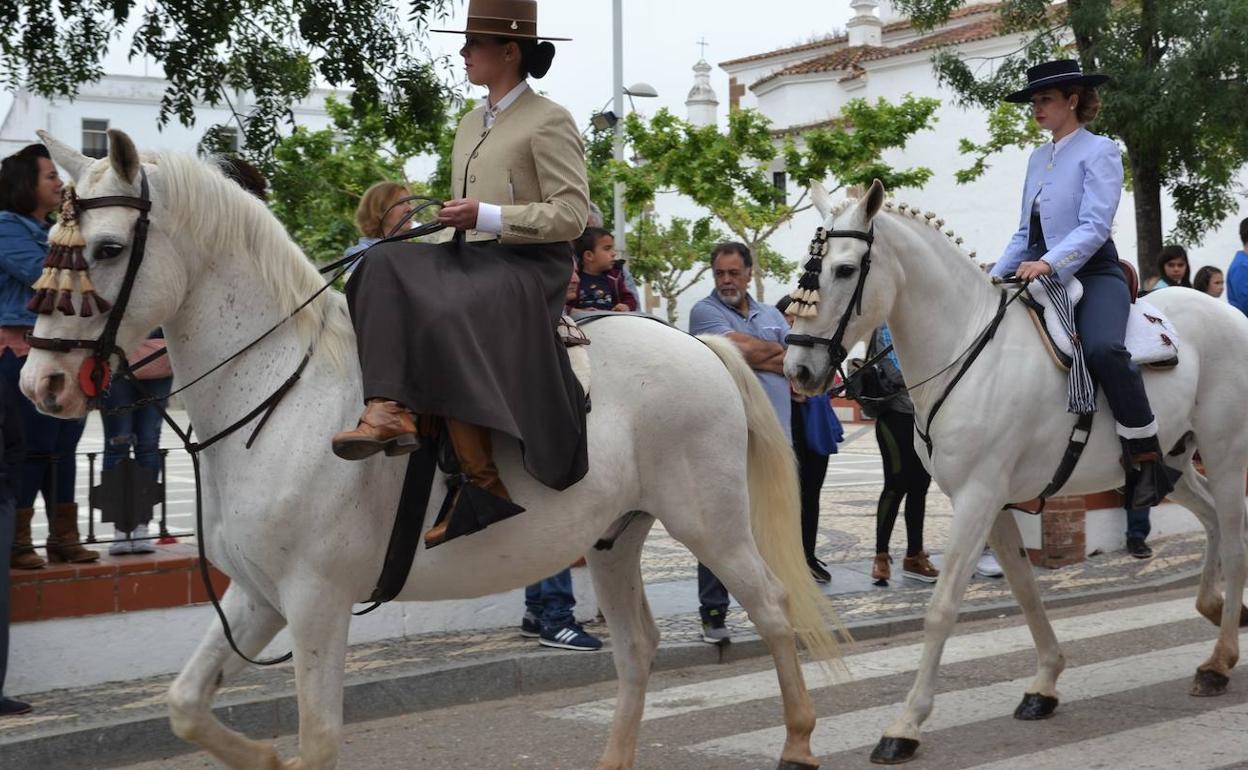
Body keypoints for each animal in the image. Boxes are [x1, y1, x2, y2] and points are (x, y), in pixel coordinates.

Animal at [21, 129, 842, 770]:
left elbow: (318, 740)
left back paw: (801, 741)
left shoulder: (315, 602)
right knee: (637, 647)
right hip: (614, 536)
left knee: (772, 608)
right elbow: (186, 704)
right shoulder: (257, 597)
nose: (41, 383)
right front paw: (260, 755)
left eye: (106, 248)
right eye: (53, 247)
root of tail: (700, 345)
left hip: (711, 521)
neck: (278, 393)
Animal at [784, 180, 1248, 765]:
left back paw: (1220, 659)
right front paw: (1044, 684)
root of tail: (1229, 315)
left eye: (844, 270)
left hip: (1226, 451)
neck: (968, 348)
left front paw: (905, 725)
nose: (798, 370)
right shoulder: (988, 501)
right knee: (1210, 521)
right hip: (1171, 462)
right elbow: (1026, 590)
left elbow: (942, 608)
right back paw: (1214, 611)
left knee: (1233, 534)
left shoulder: (979, 498)